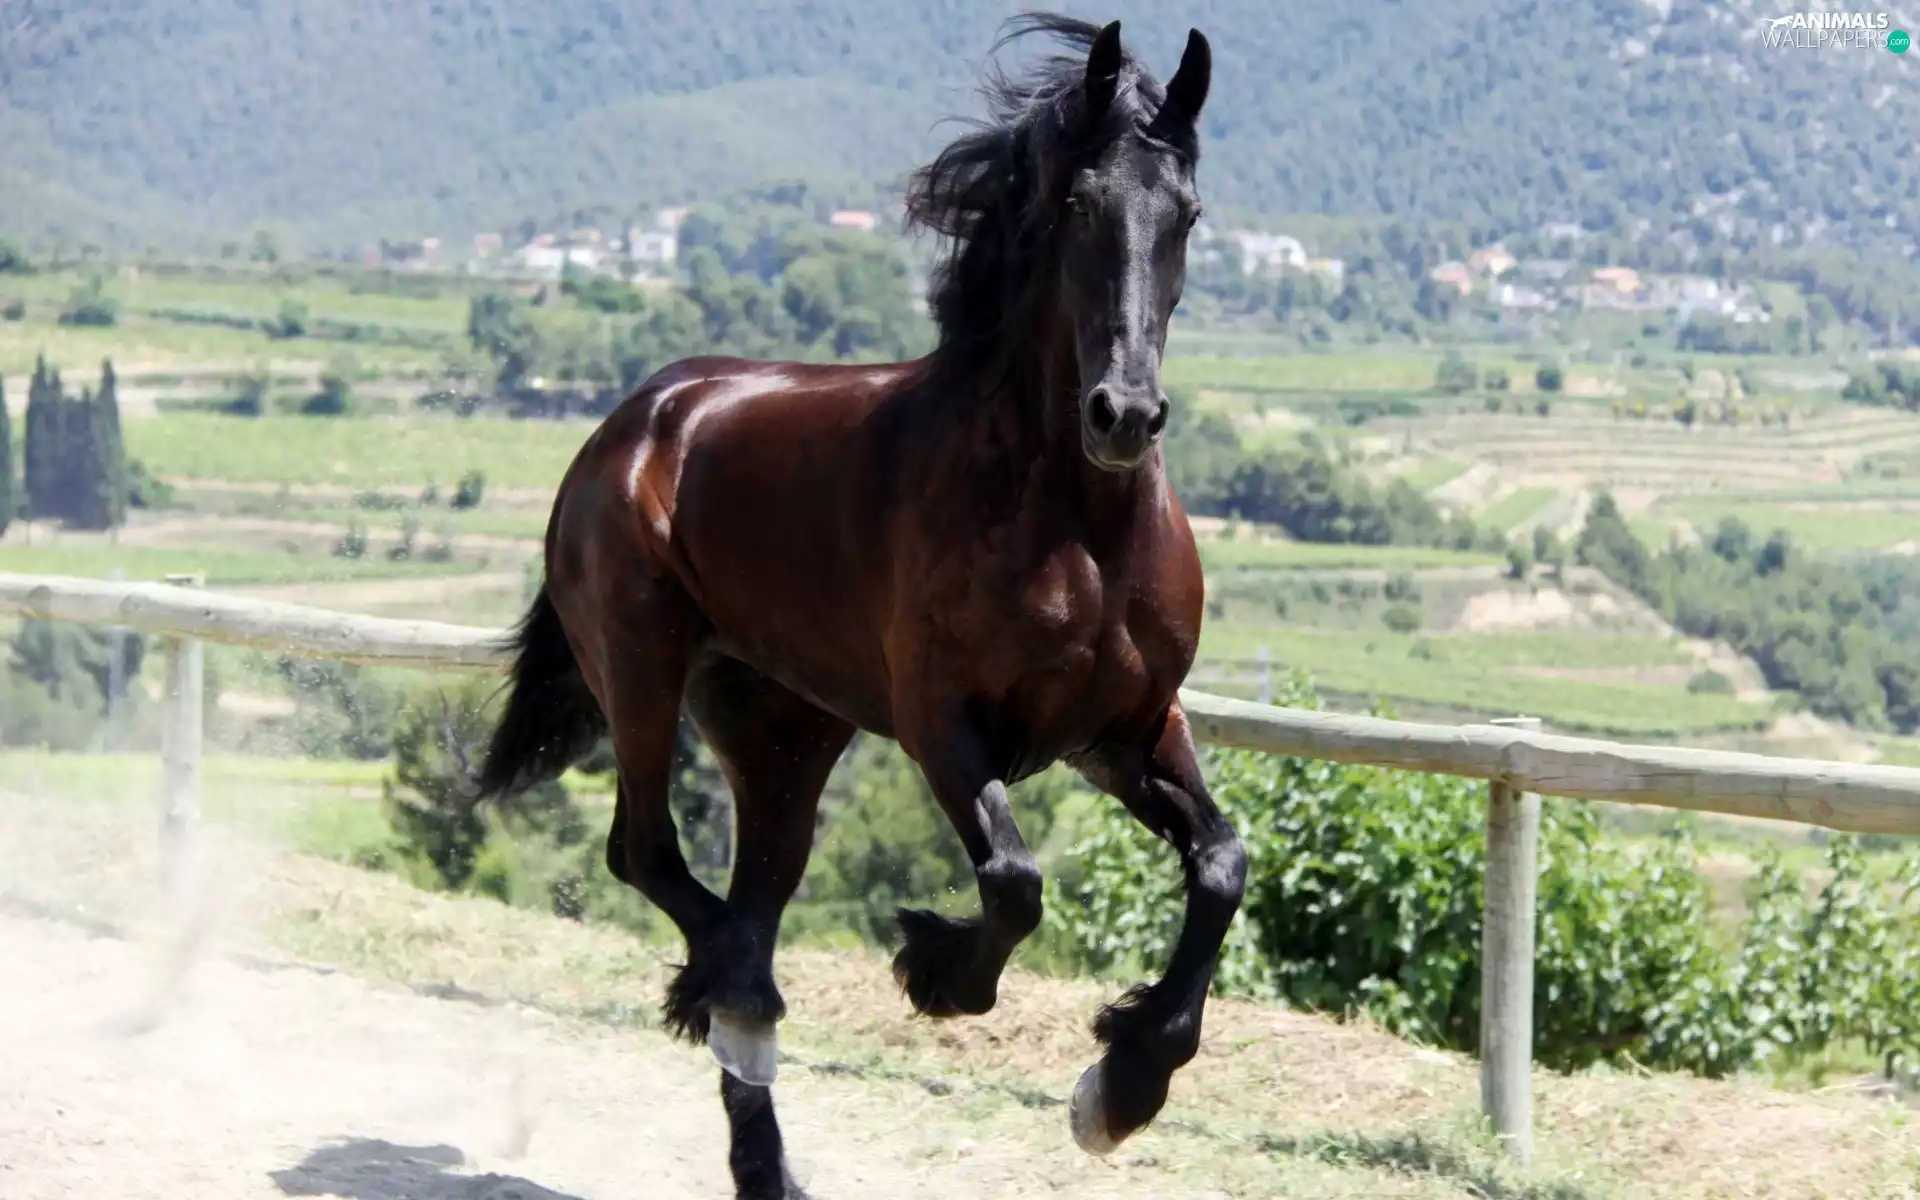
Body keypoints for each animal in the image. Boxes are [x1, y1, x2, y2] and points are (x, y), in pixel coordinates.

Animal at [476, 15, 1243, 1198]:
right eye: (1078, 204)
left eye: (1187, 213)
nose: (1123, 413)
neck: (1077, 523)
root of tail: (636, 418)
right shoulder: (943, 725)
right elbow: (1015, 882)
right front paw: (935, 968)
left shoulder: (1126, 730)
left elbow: (1220, 867)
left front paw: (1124, 1088)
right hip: (643, 672)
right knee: (649, 855)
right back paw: (737, 995)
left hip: (784, 735)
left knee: (746, 893)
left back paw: (762, 1140)